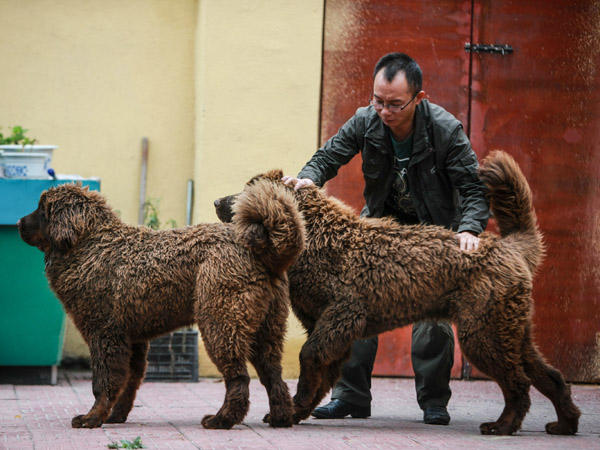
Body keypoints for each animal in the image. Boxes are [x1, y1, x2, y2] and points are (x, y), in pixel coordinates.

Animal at [18, 180, 304, 428]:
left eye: (42, 210)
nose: (19, 222)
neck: (90, 244)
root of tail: (255, 248)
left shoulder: (104, 335)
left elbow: (104, 383)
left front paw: (92, 418)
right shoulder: (132, 339)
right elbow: (129, 383)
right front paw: (115, 416)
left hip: (221, 322)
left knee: (239, 378)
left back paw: (221, 420)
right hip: (266, 330)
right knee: (274, 377)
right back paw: (280, 418)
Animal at [216, 152, 580, 436]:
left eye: (247, 189)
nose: (217, 201)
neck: (314, 235)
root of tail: (508, 246)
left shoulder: (343, 313)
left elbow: (311, 356)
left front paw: (293, 408)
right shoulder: (328, 323)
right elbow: (325, 369)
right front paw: (298, 409)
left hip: (483, 331)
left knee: (518, 382)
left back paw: (502, 425)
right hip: (510, 328)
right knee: (549, 376)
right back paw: (565, 423)